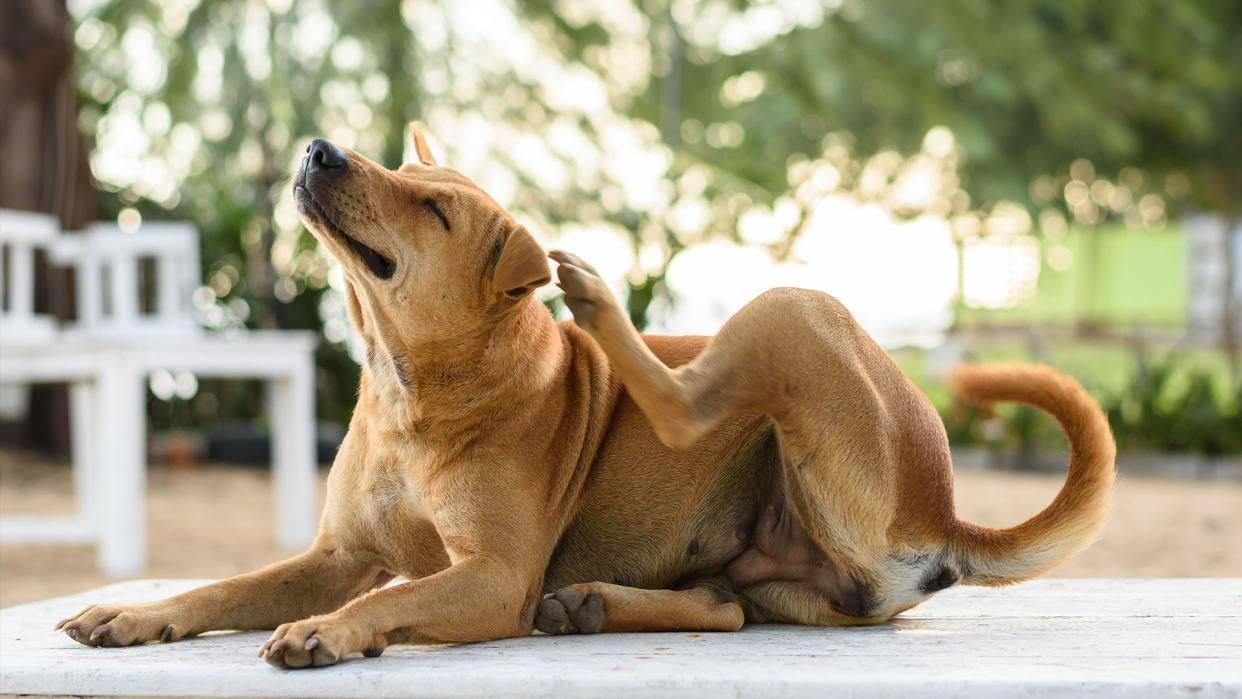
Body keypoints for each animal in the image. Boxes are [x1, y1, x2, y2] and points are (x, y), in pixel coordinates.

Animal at [55, 124, 1117, 665]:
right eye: (399, 167)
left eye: (432, 206)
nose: (321, 149)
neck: (413, 390)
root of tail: (942, 508)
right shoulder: (337, 554)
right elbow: (225, 587)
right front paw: (138, 613)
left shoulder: (492, 575)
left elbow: (392, 597)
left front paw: (329, 631)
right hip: (775, 573)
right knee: (724, 608)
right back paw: (596, 604)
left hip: (794, 310)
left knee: (689, 400)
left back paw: (600, 302)